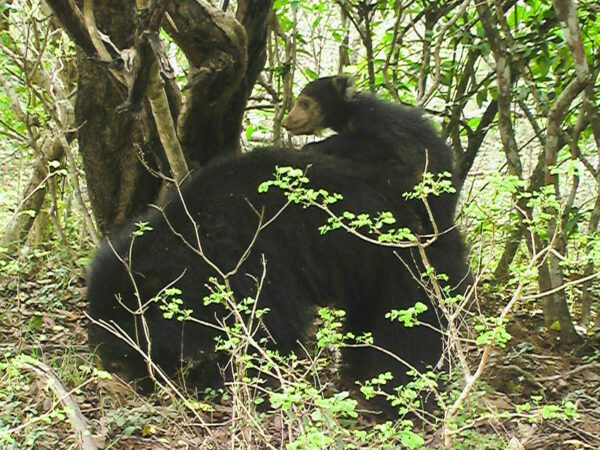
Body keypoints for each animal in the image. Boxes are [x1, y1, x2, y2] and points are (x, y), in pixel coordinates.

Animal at [284, 76, 458, 234]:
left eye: (304, 103)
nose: (286, 122)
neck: (348, 114)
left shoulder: (372, 123)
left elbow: (370, 145)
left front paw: (311, 147)